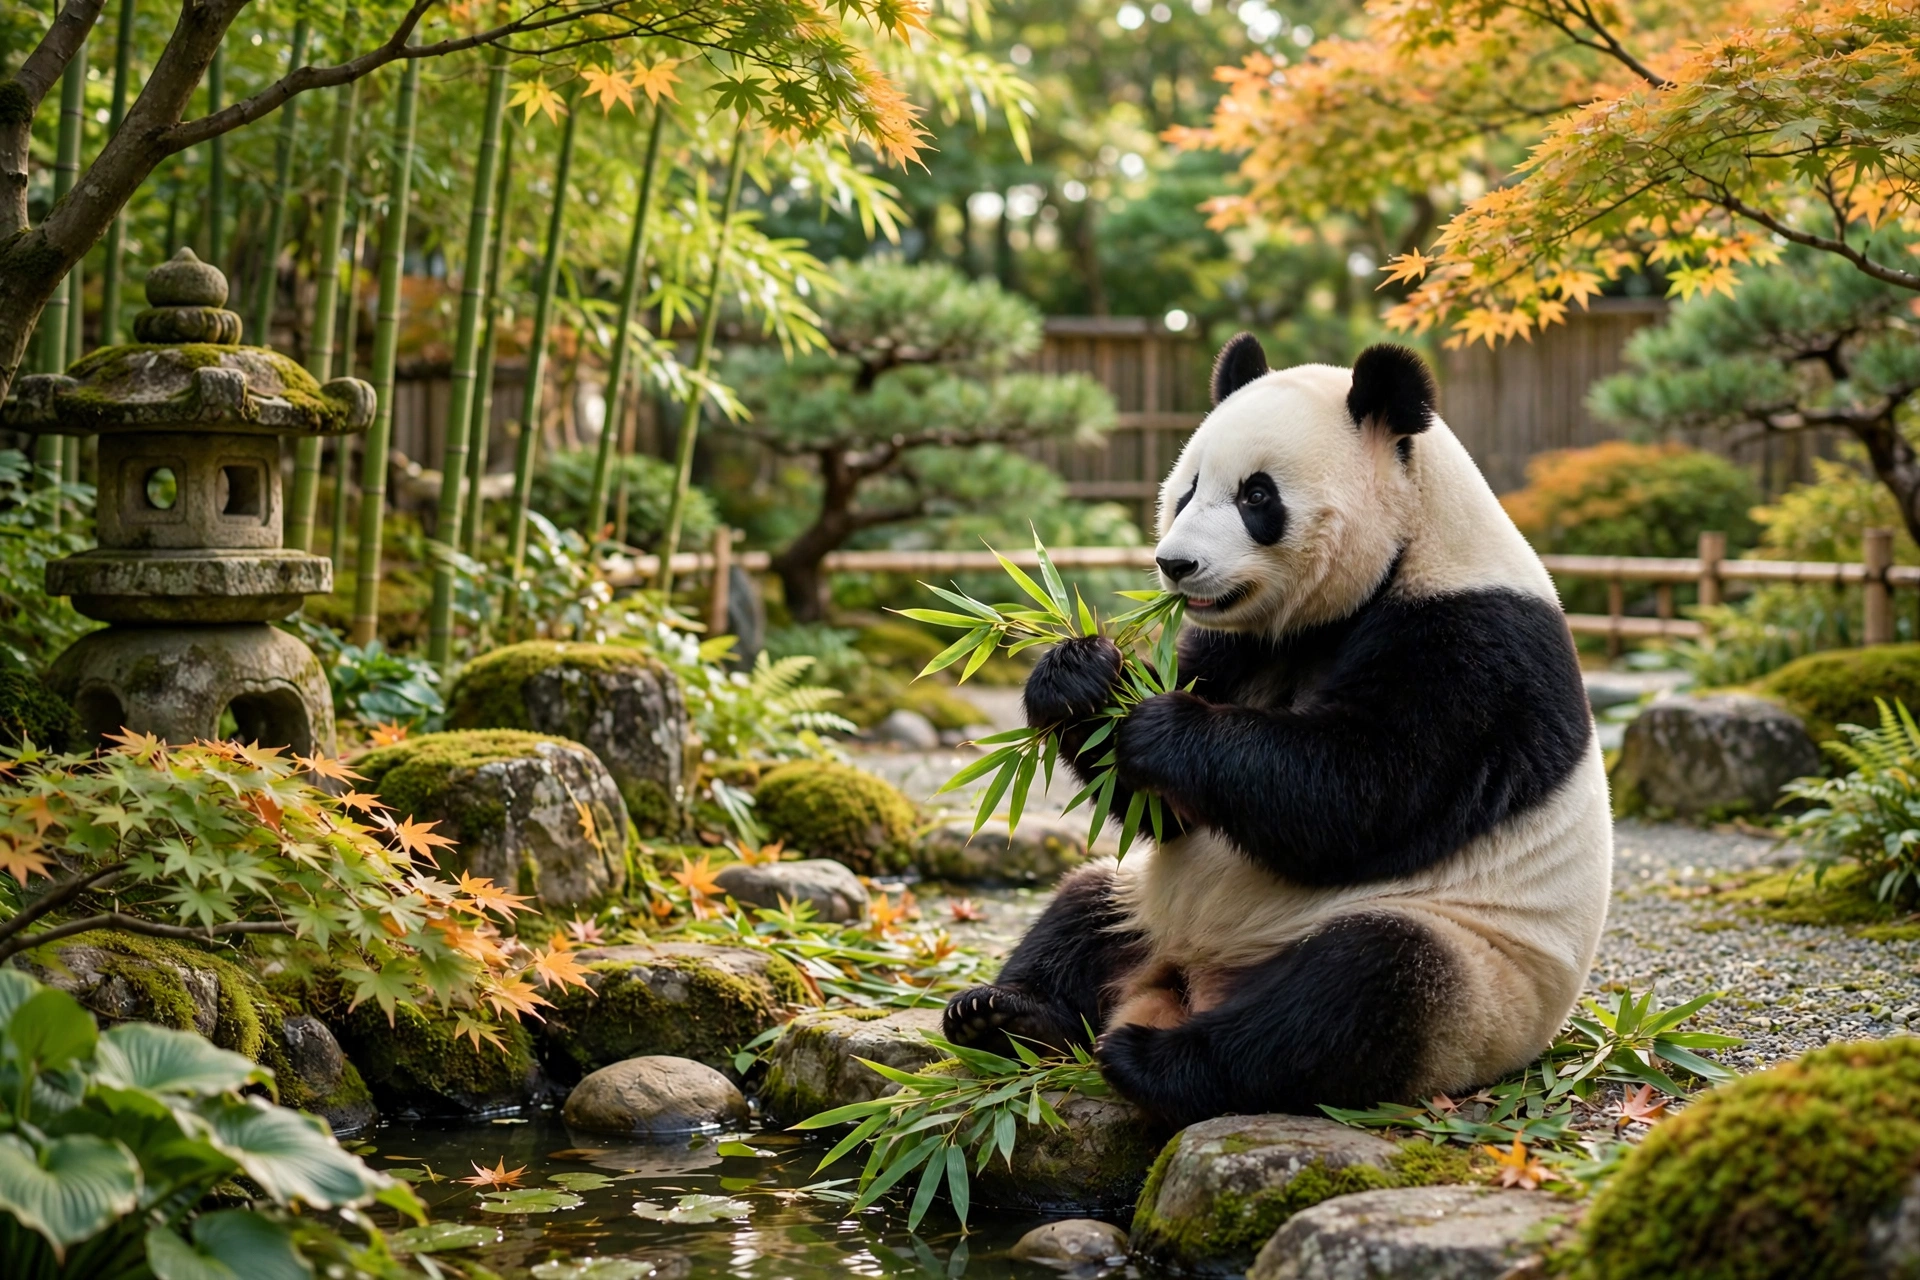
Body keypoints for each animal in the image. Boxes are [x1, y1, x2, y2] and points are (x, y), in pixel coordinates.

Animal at [942, 335, 1613, 1129]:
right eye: (1188, 488)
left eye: (1256, 496)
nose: (1176, 564)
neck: (1406, 549)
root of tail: (1183, 982)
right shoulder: (1238, 644)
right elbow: (1163, 815)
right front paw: (1080, 676)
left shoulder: (1478, 646)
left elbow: (1361, 793)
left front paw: (1161, 726)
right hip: (1144, 904)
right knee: (1085, 905)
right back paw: (1003, 1015)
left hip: (1476, 976)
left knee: (1355, 991)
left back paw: (1154, 1061)